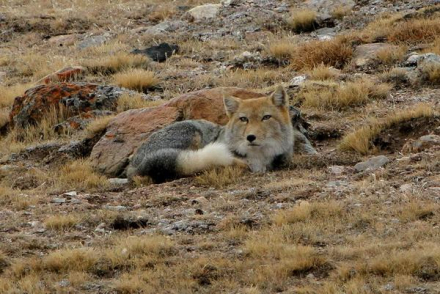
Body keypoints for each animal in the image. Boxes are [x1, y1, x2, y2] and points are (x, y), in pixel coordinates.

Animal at [125, 85, 314, 183]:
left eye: (266, 117)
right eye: (243, 119)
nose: (250, 137)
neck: (258, 158)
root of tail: (133, 165)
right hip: (193, 132)